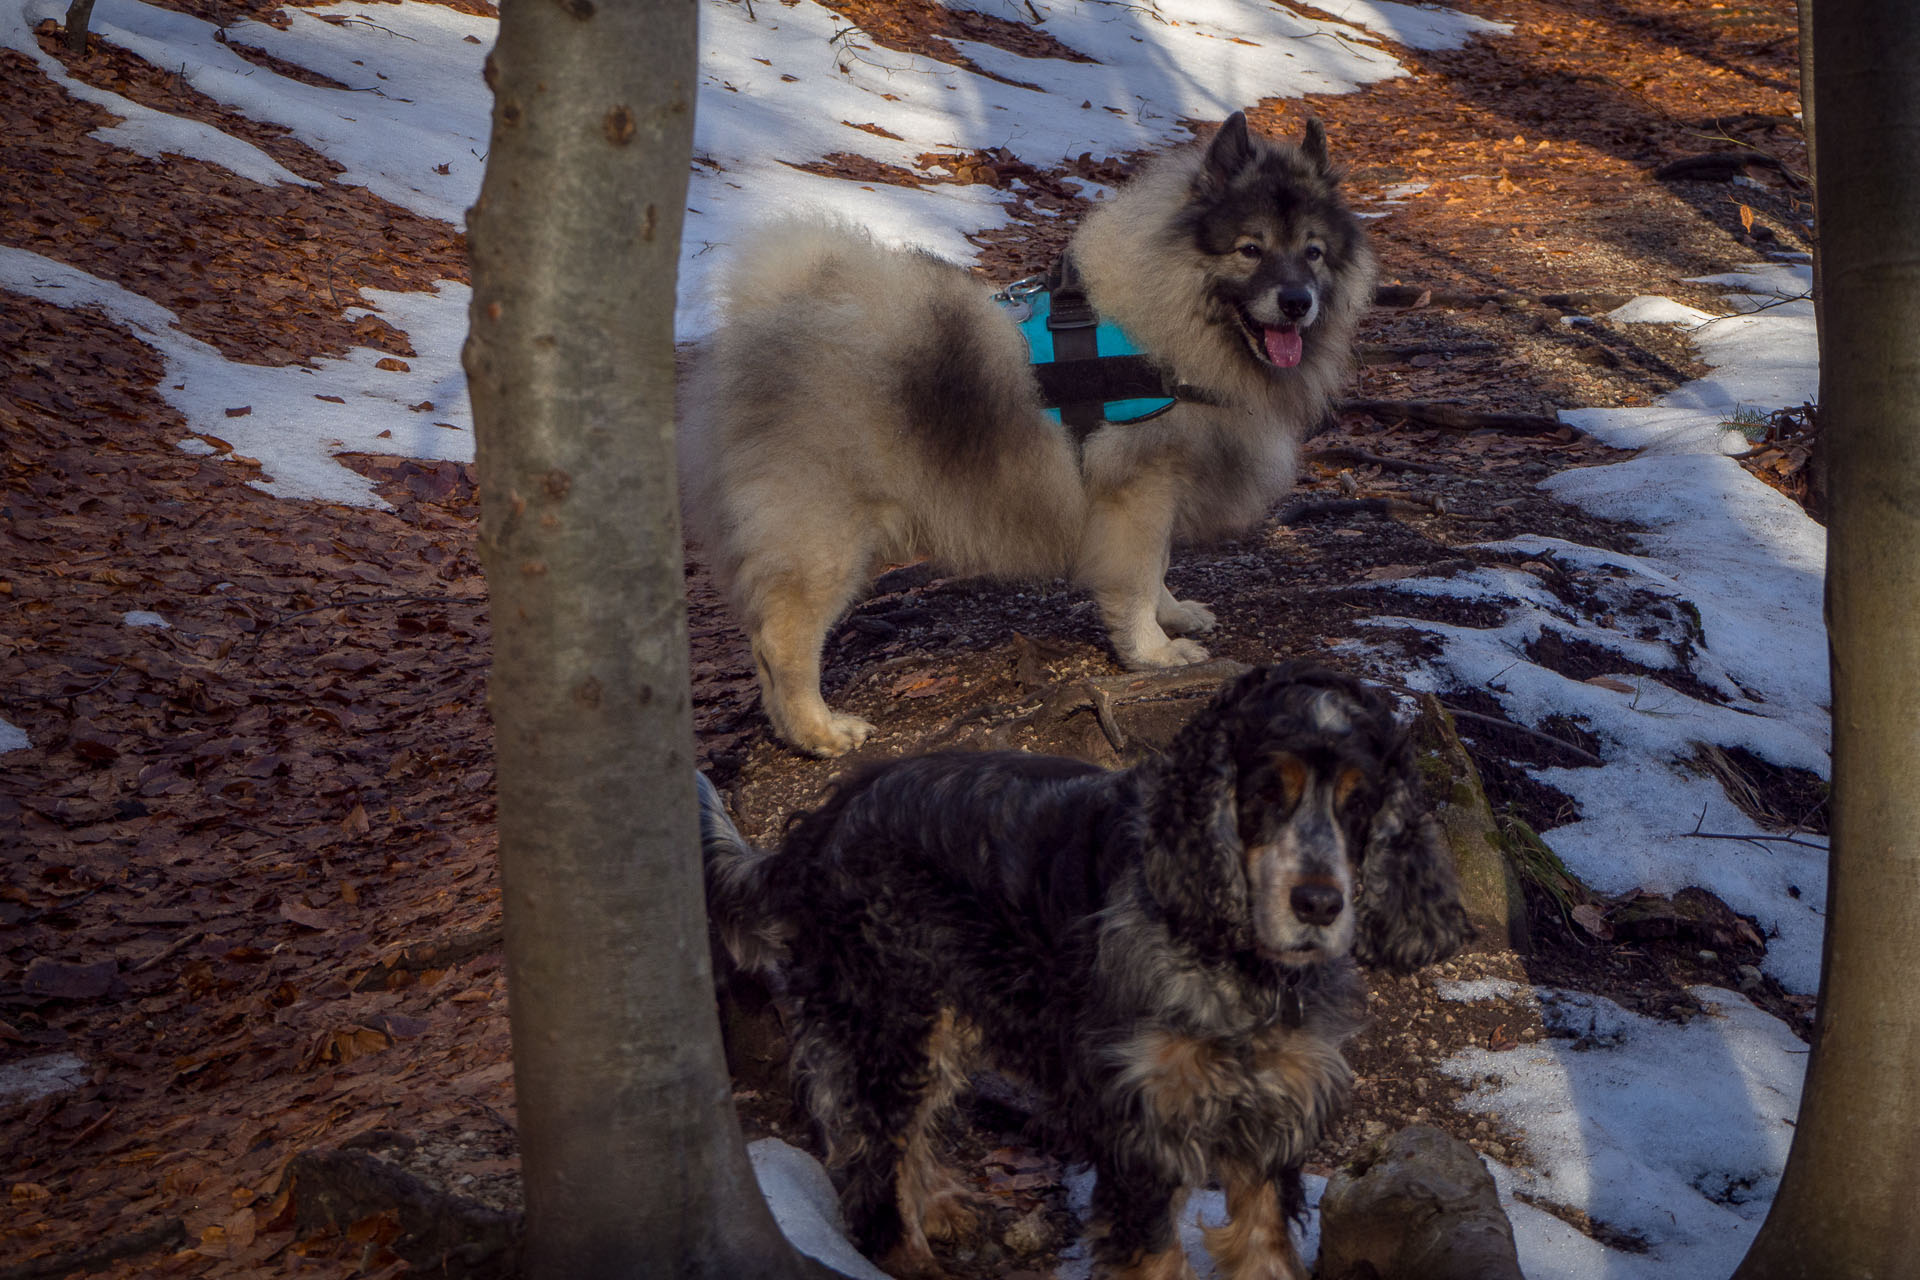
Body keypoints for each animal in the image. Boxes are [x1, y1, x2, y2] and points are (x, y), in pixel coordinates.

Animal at [683, 112, 1374, 759]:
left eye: (1313, 252)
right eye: (1250, 249)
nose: (1297, 302)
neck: (1169, 318)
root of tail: (767, 320)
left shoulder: (1156, 491)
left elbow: (1158, 566)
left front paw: (1173, 611)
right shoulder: (1137, 491)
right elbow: (1136, 575)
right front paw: (1152, 651)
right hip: (825, 539)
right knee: (782, 640)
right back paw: (820, 731)